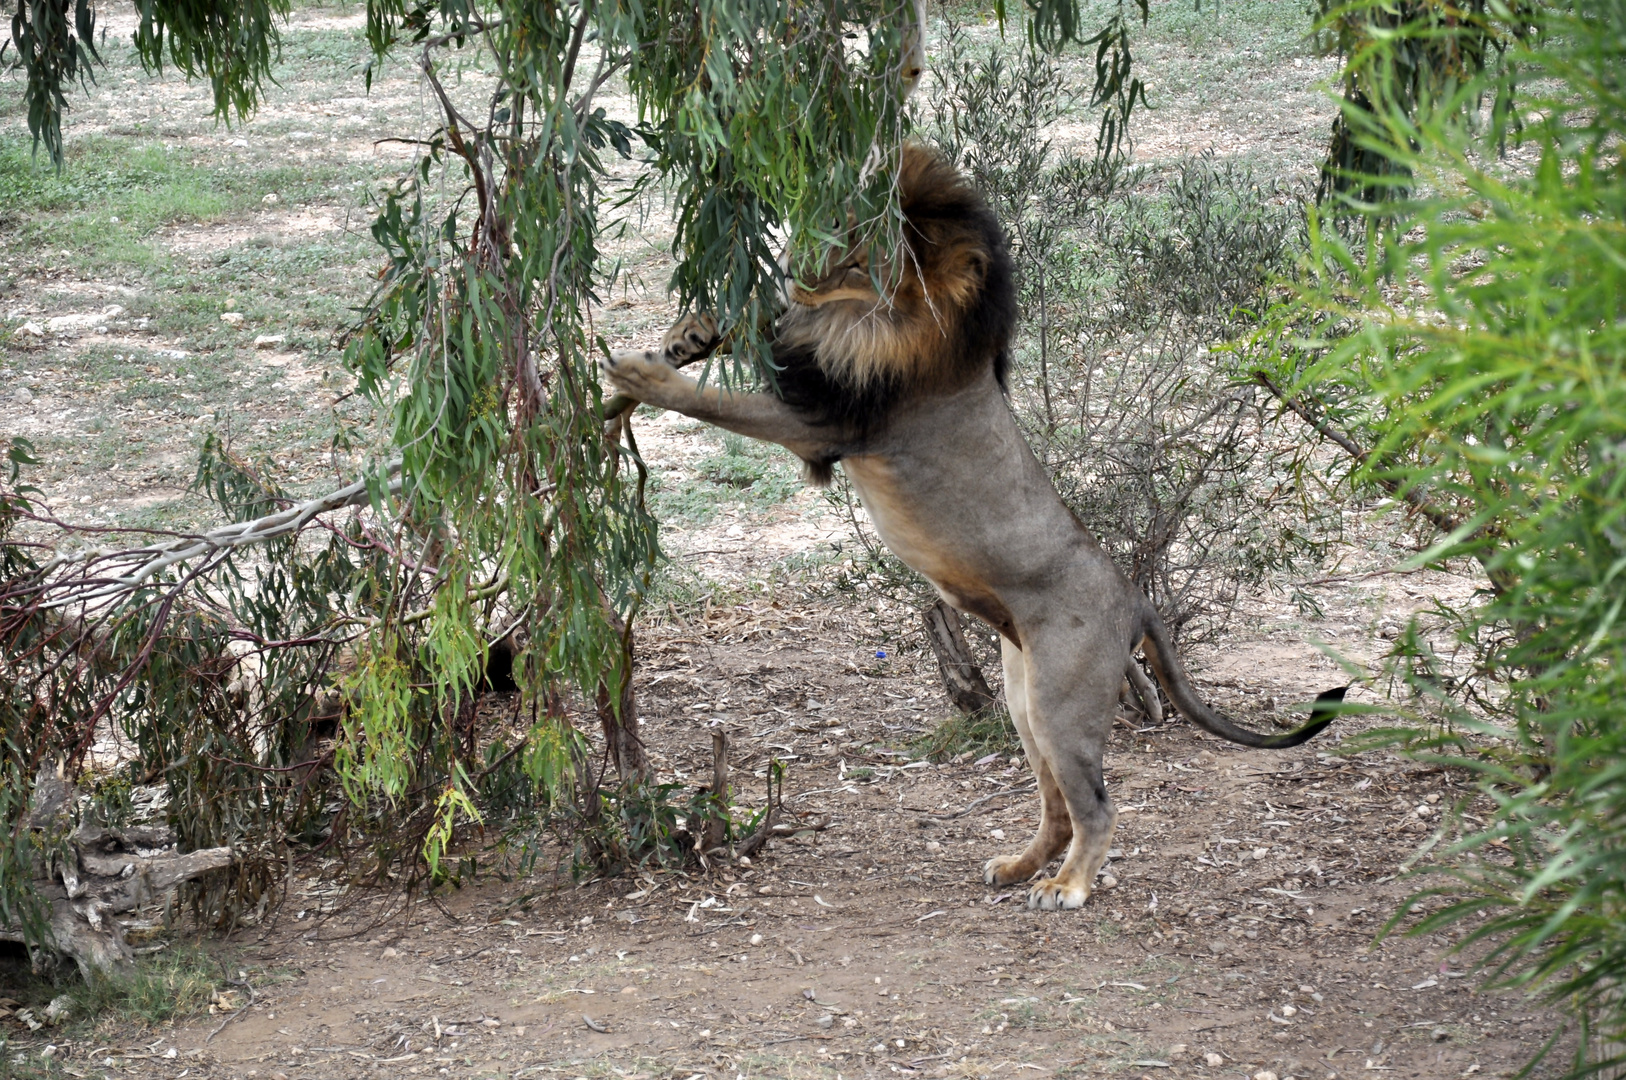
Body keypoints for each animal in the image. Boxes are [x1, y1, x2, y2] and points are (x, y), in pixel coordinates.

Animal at [604, 143, 1339, 910]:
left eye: (855, 263)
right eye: (831, 233)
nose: (797, 274)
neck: (877, 321)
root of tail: (1136, 597)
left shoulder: (826, 422)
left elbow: (717, 402)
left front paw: (641, 375)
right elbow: (753, 328)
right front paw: (689, 331)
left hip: (1063, 702)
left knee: (1098, 806)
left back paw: (1067, 887)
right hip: (1022, 698)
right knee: (1055, 804)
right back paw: (1018, 868)